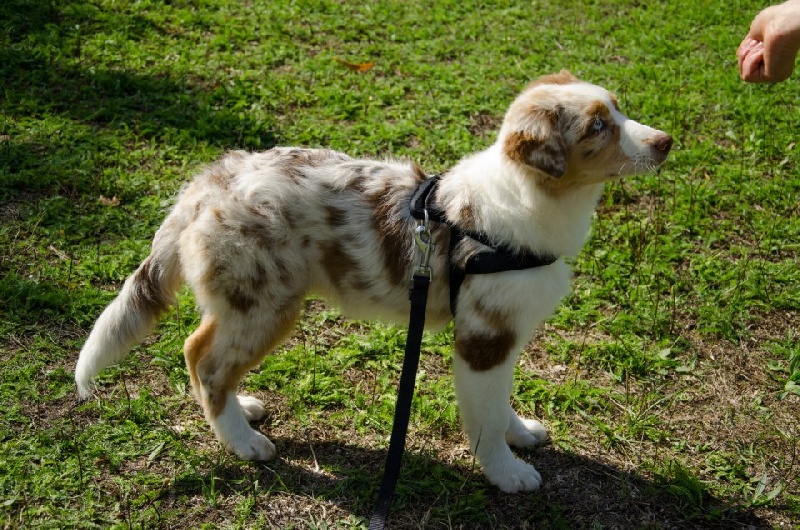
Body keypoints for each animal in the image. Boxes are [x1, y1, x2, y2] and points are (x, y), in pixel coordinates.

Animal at [75, 70, 672, 493]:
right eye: (597, 127)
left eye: (617, 109)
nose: (666, 142)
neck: (531, 202)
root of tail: (209, 182)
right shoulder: (482, 339)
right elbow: (482, 414)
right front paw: (507, 473)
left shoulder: (506, 336)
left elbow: (500, 401)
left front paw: (520, 433)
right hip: (265, 303)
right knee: (207, 360)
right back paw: (244, 443)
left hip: (241, 300)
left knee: (196, 347)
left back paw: (239, 411)